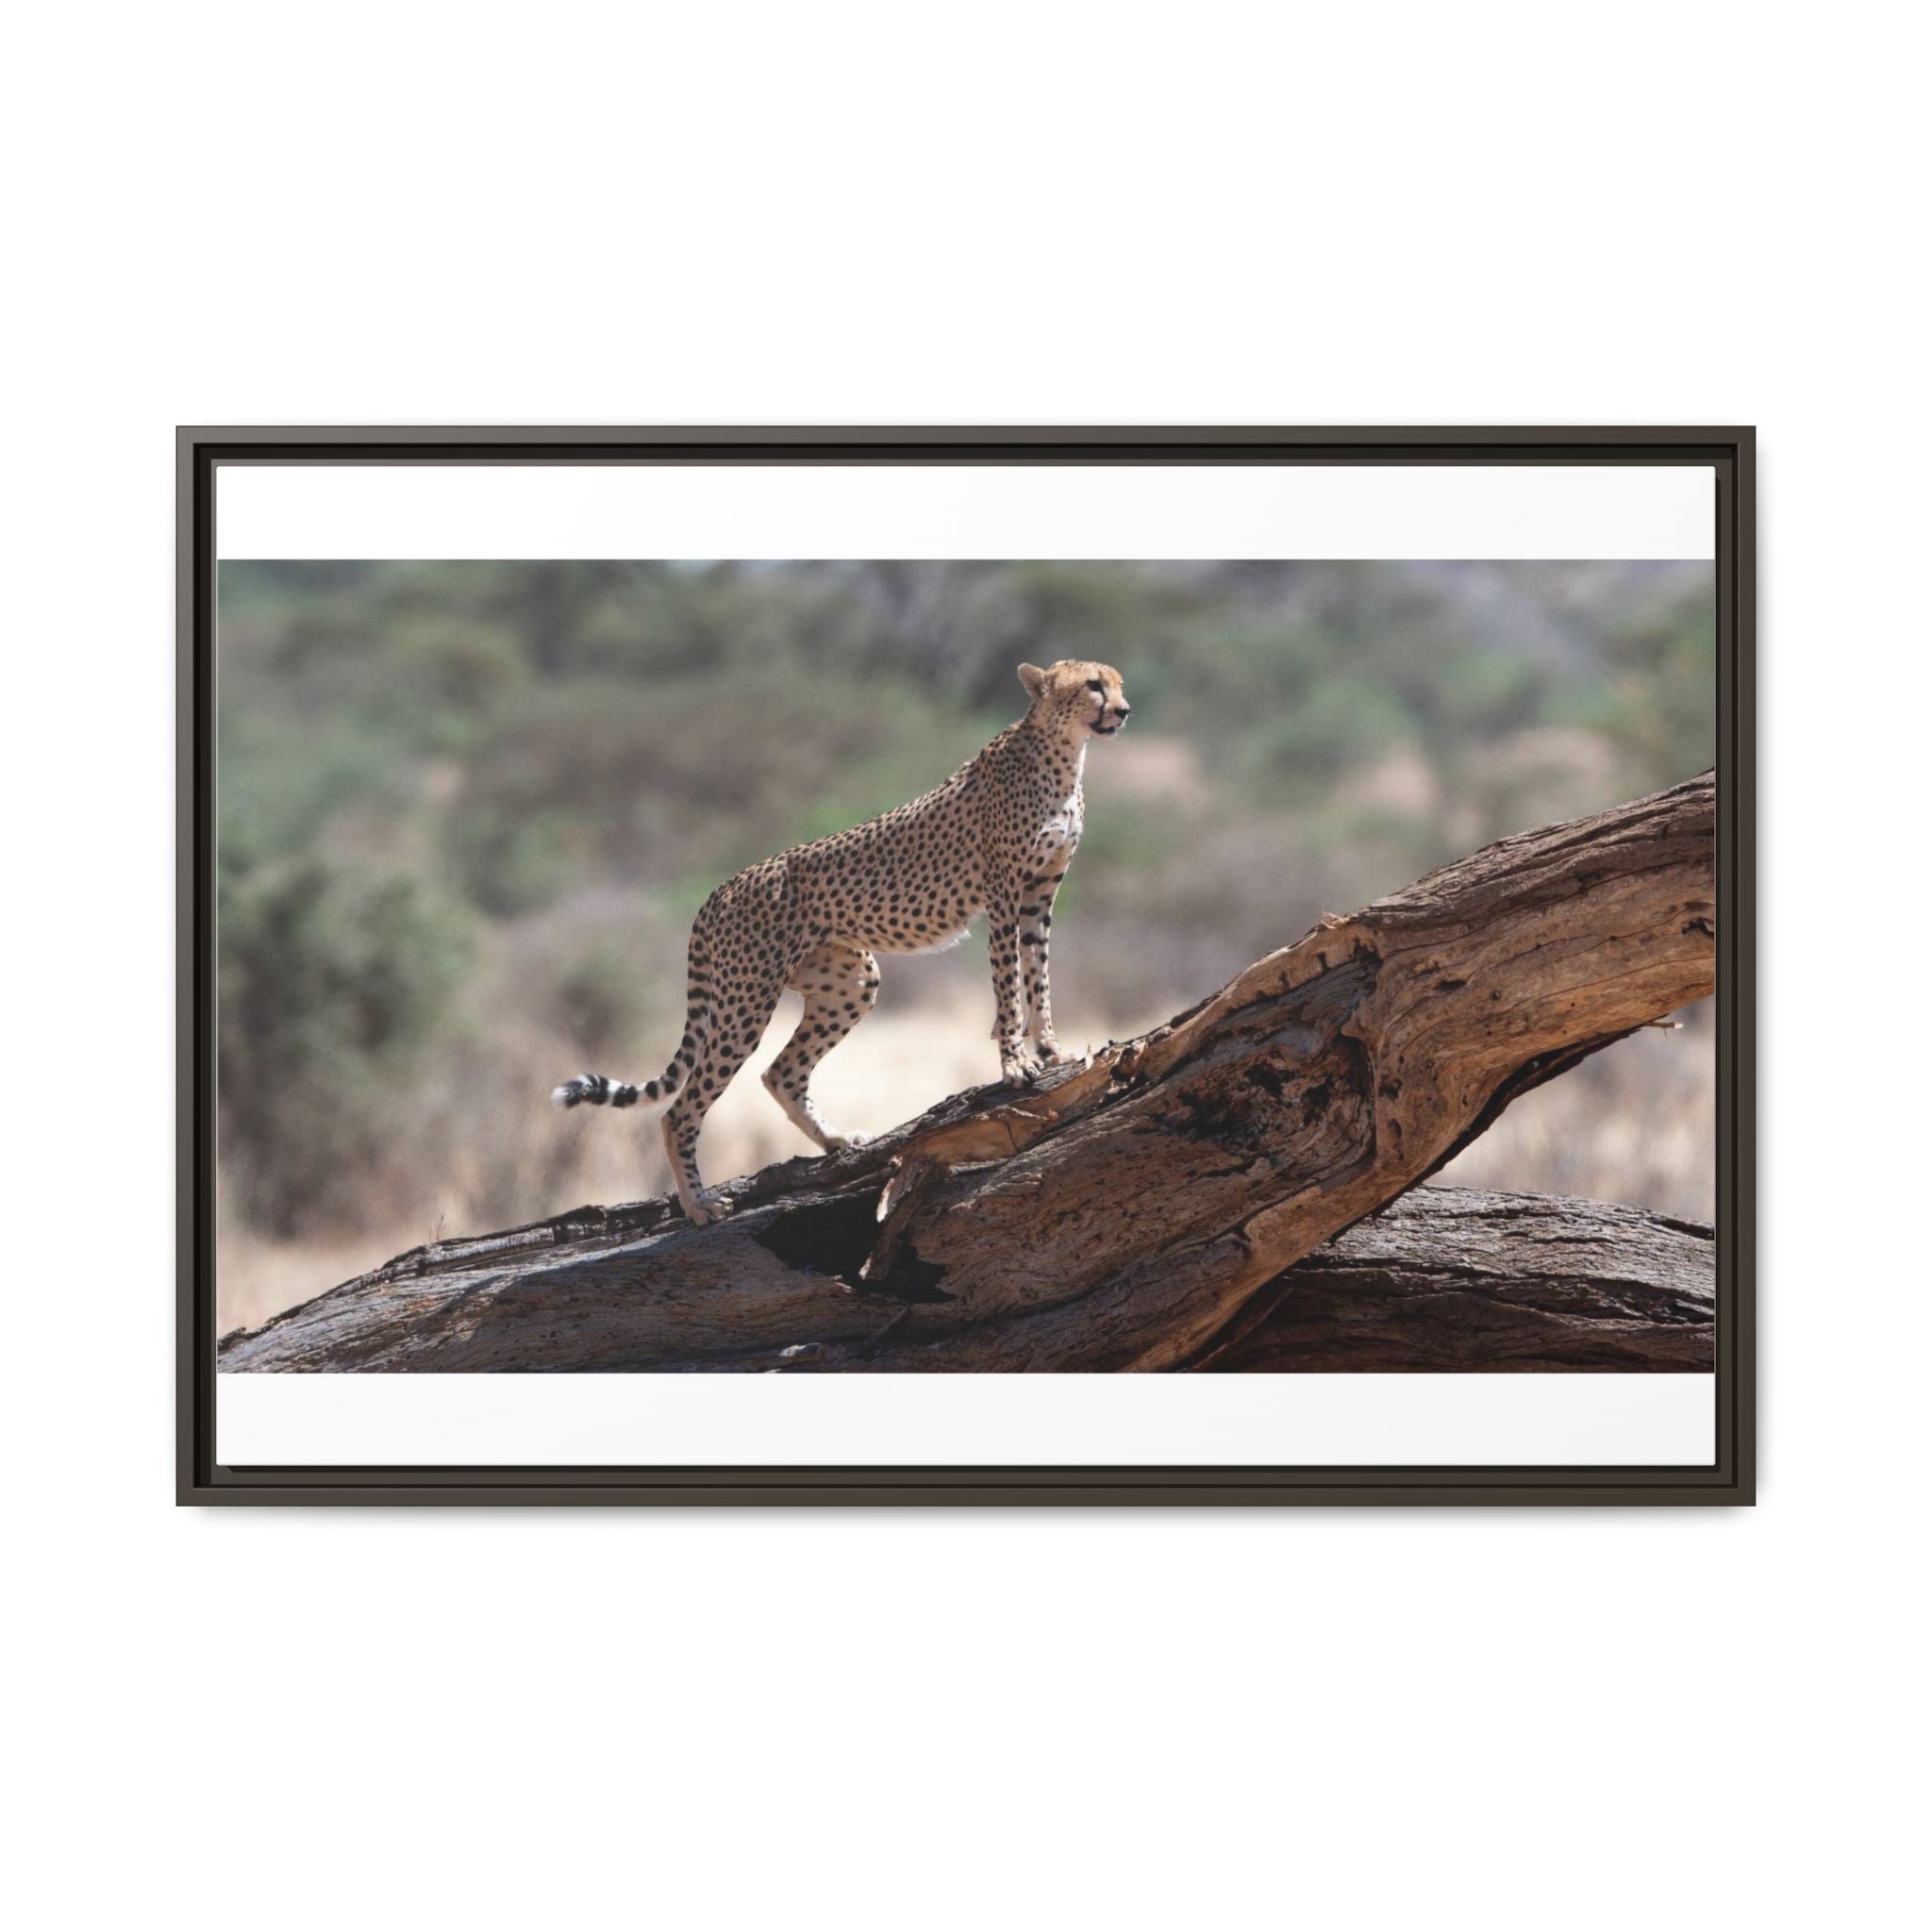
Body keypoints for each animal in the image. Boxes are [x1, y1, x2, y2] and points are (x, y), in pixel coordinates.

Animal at [551, 658, 1132, 1224]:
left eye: (1118, 683)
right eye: (1092, 685)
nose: (1124, 710)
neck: (1064, 752)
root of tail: (721, 888)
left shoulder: (1039, 895)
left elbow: (1038, 975)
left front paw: (1051, 1049)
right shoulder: (1004, 894)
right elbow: (1008, 984)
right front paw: (1015, 1065)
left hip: (850, 980)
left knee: (781, 1073)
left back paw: (836, 1141)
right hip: (746, 1000)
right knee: (681, 1108)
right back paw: (699, 1206)